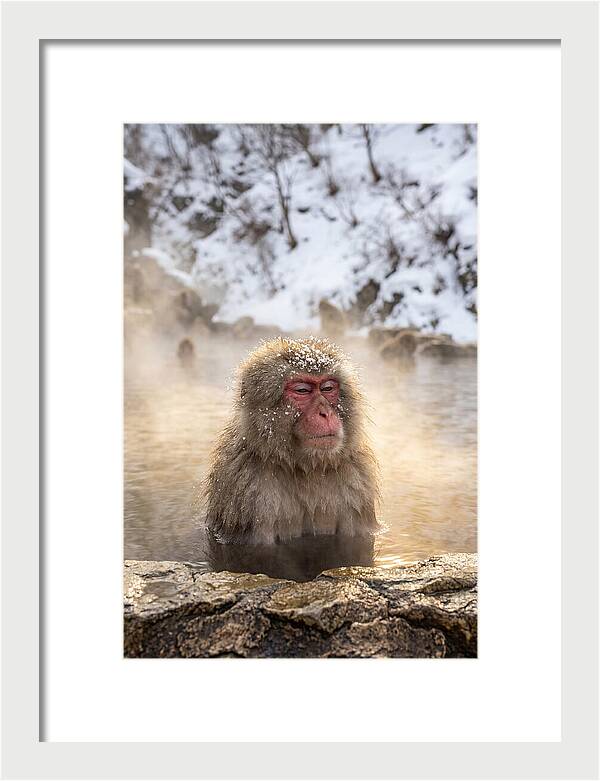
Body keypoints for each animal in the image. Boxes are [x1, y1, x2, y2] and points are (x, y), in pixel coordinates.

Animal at [205, 336, 379, 544]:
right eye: (302, 390)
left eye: (328, 388)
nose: (325, 413)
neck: (307, 468)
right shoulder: (247, 492)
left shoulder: (357, 483)